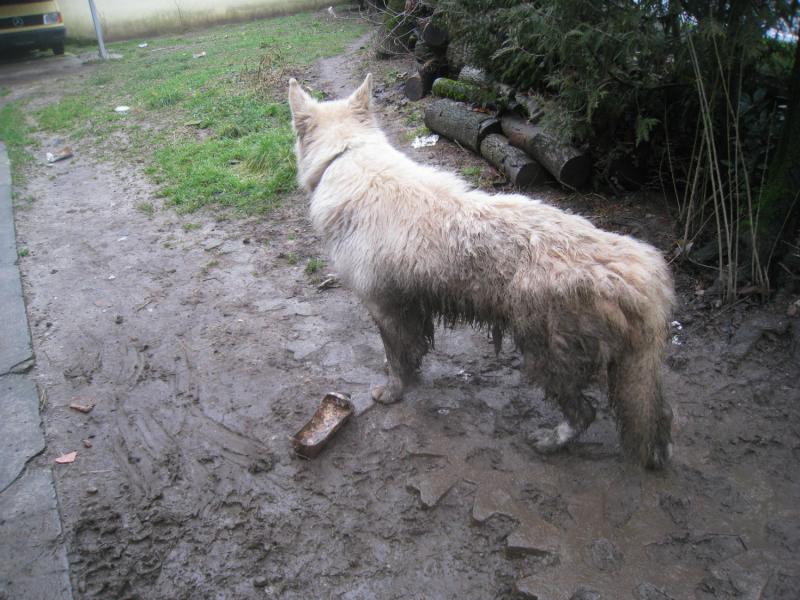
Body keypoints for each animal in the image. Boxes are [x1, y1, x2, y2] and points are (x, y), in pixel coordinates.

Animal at [288, 74, 676, 469]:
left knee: (585, 413)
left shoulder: (383, 306)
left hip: (545, 354)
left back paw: (550, 441)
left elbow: (397, 359)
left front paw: (392, 392)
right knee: (657, 417)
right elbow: (412, 349)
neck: (345, 155)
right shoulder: (409, 306)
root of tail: (643, 271)